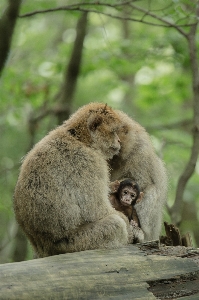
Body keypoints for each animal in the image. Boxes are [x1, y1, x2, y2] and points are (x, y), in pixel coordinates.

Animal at [13, 103, 137, 258]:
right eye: (114, 131)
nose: (119, 140)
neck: (81, 139)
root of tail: (46, 248)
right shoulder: (90, 163)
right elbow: (96, 210)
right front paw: (130, 228)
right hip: (76, 243)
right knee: (115, 225)